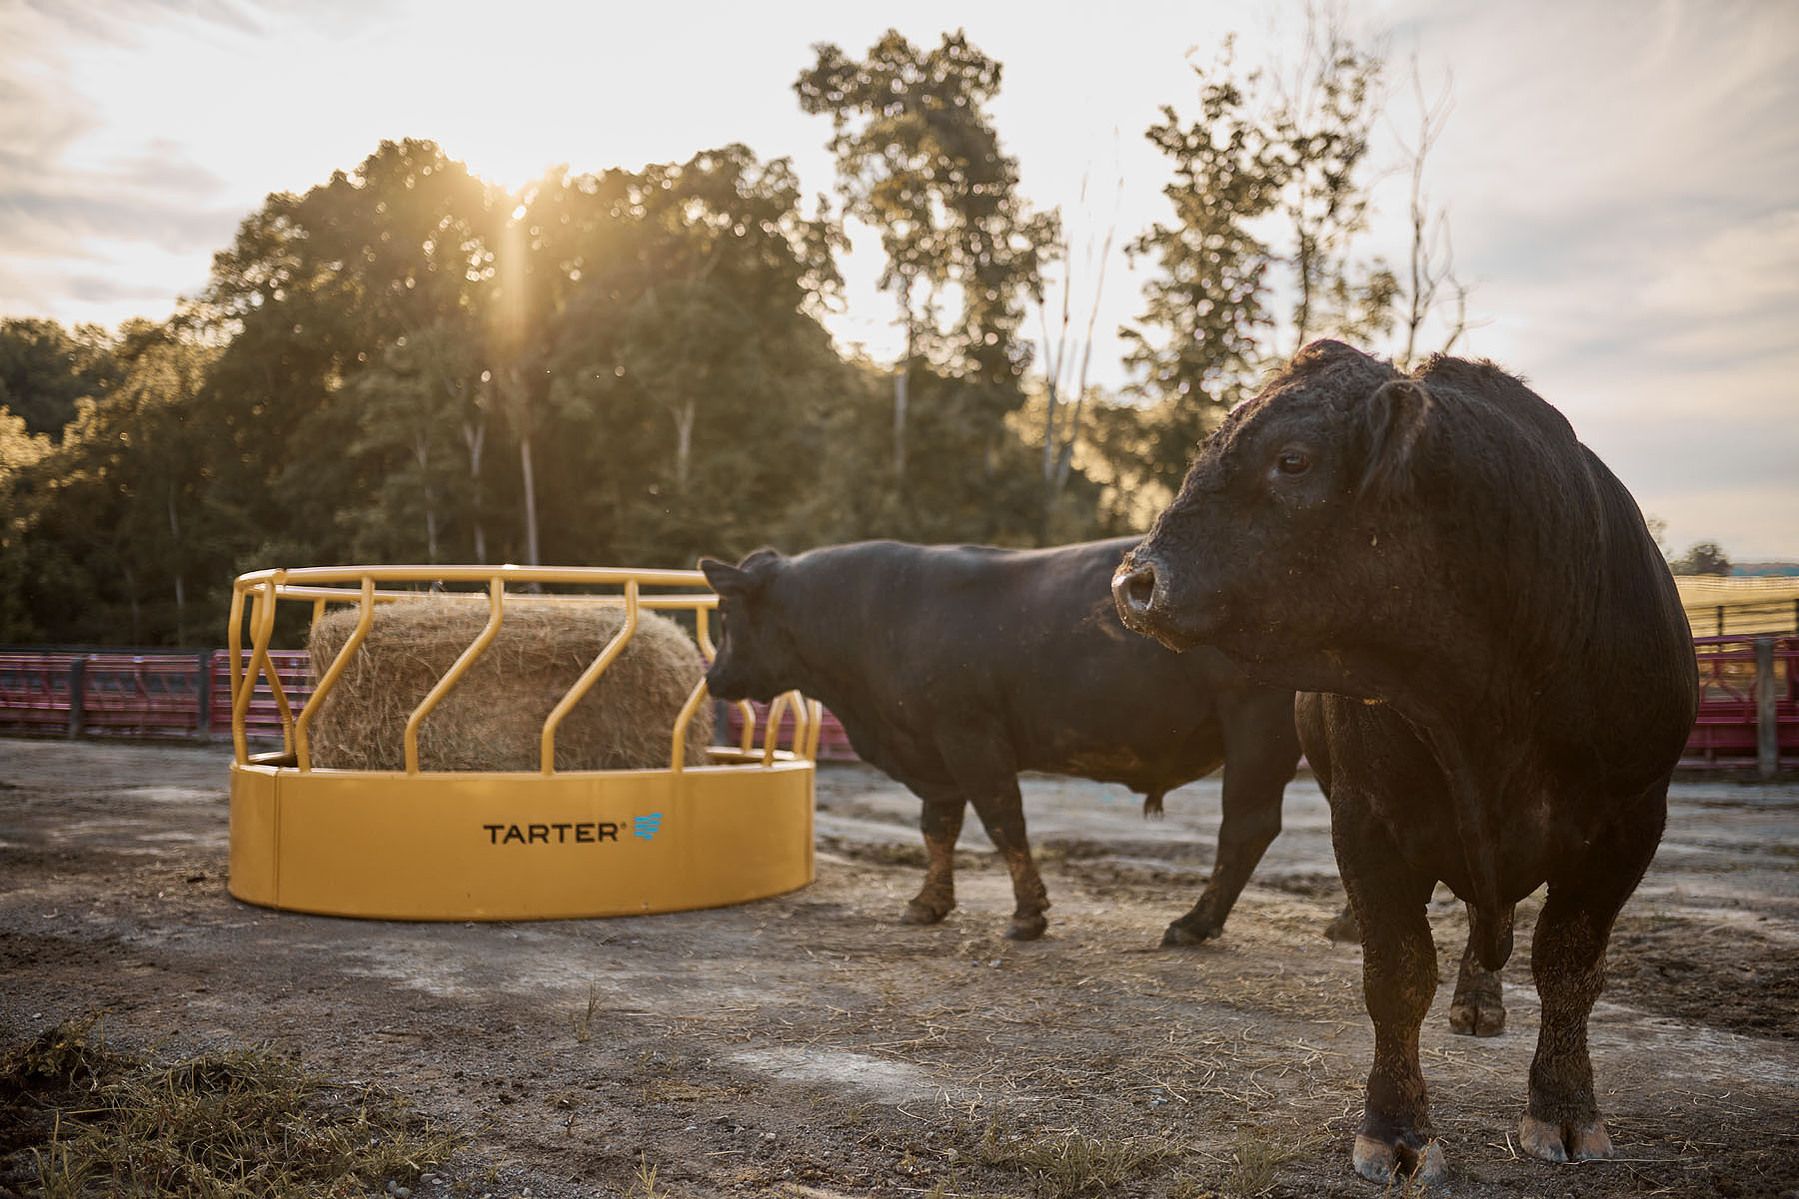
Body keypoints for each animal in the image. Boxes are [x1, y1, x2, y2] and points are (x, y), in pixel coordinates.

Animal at [698, 537, 1302, 945]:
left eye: (726, 612)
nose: (714, 678)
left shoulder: (969, 735)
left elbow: (1002, 820)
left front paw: (1028, 913)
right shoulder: (930, 753)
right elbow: (937, 828)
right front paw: (928, 903)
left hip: (1257, 725)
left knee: (1245, 827)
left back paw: (1193, 924)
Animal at [1112, 341, 1696, 1185]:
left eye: (1293, 458)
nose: (1135, 579)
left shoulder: (1629, 821)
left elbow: (1568, 968)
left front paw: (1564, 1108)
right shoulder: (1367, 821)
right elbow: (1395, 972)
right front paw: (1395, 1128)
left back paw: (1481, 1000)